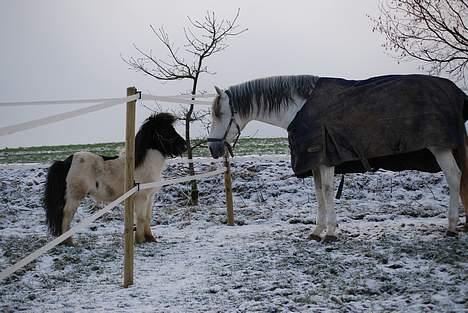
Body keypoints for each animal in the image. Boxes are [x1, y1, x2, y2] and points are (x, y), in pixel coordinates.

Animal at [43, 112, 186, 244]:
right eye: (165, 130)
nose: (184, 146)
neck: (142, 164)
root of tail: (65, 162)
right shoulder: (141, 197)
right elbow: (141, 218)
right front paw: (140, 240)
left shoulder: (150, 197)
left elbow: (147, 217)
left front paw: (150, 238)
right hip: (74, 197)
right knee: (66, 216)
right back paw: (69, 242)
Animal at [208, 75, 468, 241]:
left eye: (221, 114)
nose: (213, 149)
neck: (298, 110)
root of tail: (454, 91)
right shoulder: (314, 163)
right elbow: (318, 193)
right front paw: (317, 231)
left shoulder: (325, 160)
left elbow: (327, 190)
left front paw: (331, 233)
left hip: (439, 147)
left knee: (454, 177)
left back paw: (451, 226)